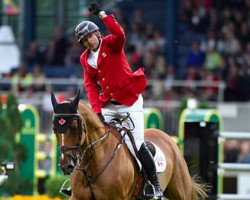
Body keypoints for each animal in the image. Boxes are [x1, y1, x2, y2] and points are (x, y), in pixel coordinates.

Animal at [50, 91, 207, 200]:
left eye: (74, 127)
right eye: (54, 129)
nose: (66, 166)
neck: (93, 162)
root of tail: (168, 138)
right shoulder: (77, 197)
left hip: (180, 191)